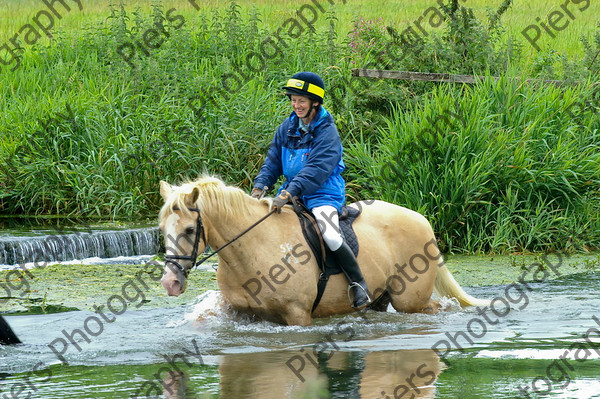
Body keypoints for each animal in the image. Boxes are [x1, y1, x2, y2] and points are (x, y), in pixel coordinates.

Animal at [159, 177, 488, 326]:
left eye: (189, 230)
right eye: (162, 229)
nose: (170, 283)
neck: (253, 247)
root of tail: (422, 220)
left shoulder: (298, 315)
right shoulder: (238, 313)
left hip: (411, 301)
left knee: (434, 308)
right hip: (382, 298)